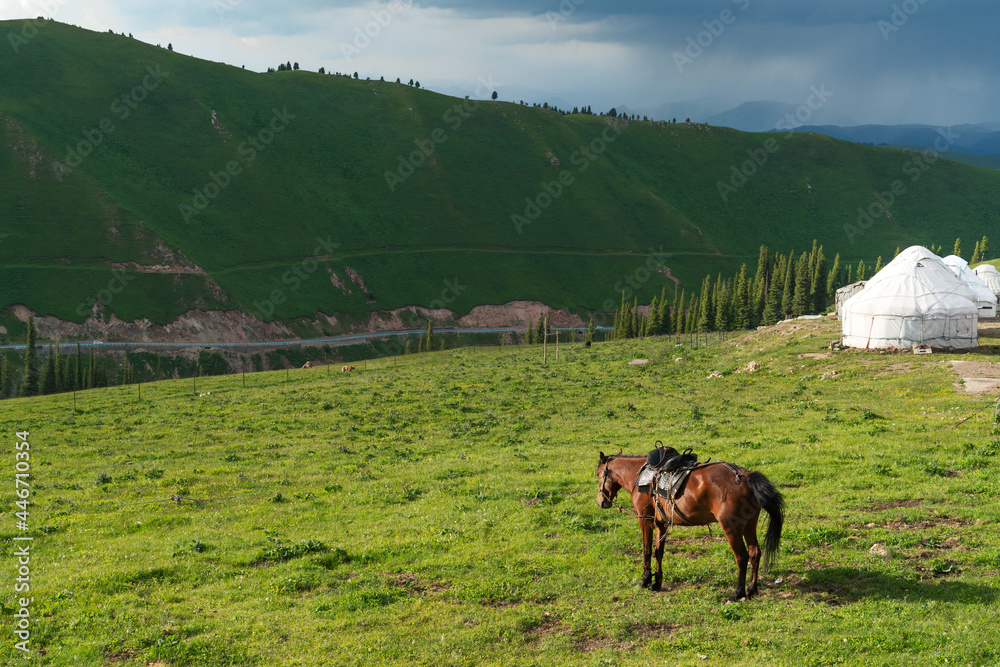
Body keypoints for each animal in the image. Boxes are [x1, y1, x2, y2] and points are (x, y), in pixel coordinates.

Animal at [596, 450, 784, 601]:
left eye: (598, 474)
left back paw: (738, 593)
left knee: (742, 557)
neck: (639, 477)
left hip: (731, 527)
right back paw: (751, 589)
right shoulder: (662, 523)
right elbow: (658, 552)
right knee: (754, 553)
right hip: (749, 524)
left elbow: (647, 550)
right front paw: (657, 582)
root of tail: (745, 475)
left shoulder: (645, 519)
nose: (600, 502)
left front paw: (645, 580)